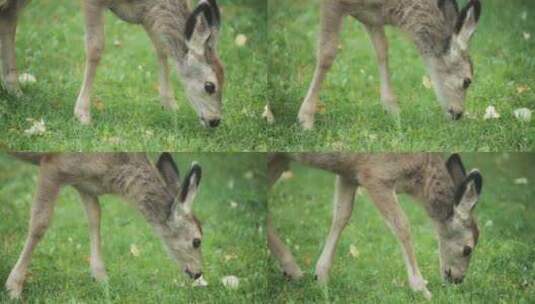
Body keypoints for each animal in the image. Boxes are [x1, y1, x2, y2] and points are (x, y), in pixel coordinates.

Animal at [4, 152, 205, 300]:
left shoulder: (84, 184)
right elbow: (39, 224)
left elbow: (95, 218)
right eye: (197, 241)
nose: (198, 273)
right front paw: (13, 288)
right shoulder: (53, 164)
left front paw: (101, 279)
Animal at [270, 152, 484, 300]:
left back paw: (292, 270)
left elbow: (342, 215)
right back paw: (293, 269)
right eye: (467, 249)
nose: (457, 279)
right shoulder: (374, 174)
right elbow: (402, 225)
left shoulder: (349, 173)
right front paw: (422, 289)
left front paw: (321, 277)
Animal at [300, 0, 484, 129]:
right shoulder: (334, 4)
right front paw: (306, 119)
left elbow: (382, 49)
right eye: (467, 81)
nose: (458, 113)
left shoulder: (369, 15)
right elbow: (327, 54)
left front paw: (392, 109)